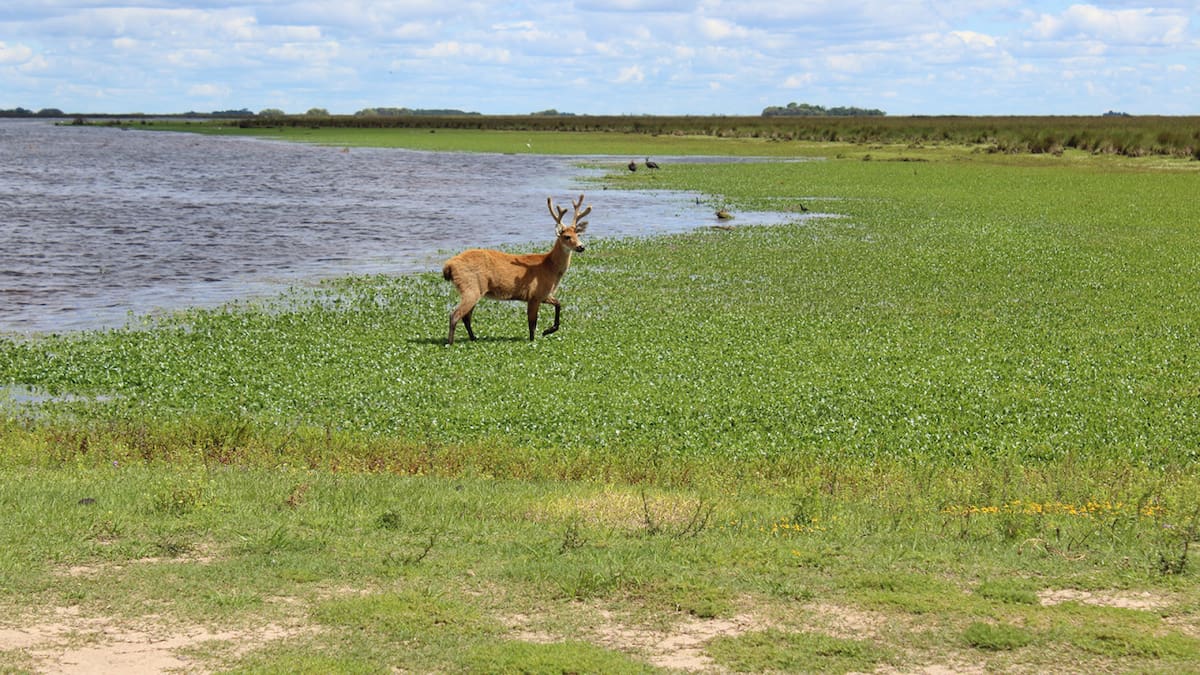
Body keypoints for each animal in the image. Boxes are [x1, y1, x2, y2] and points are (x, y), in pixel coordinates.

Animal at [442, 194, 591, 345]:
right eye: (567, 236)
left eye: (578, 235)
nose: (581, 247)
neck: (550, 268)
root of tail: (448, 266)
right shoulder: (535, 294)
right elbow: (532, 323)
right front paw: (534, 339)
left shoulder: (543, 294)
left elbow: (558, 304)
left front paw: (548, 330)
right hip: (470, 287)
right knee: (455, 314)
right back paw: (450, 342)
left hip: (475, 290)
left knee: (466, 317)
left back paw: (473, 338)